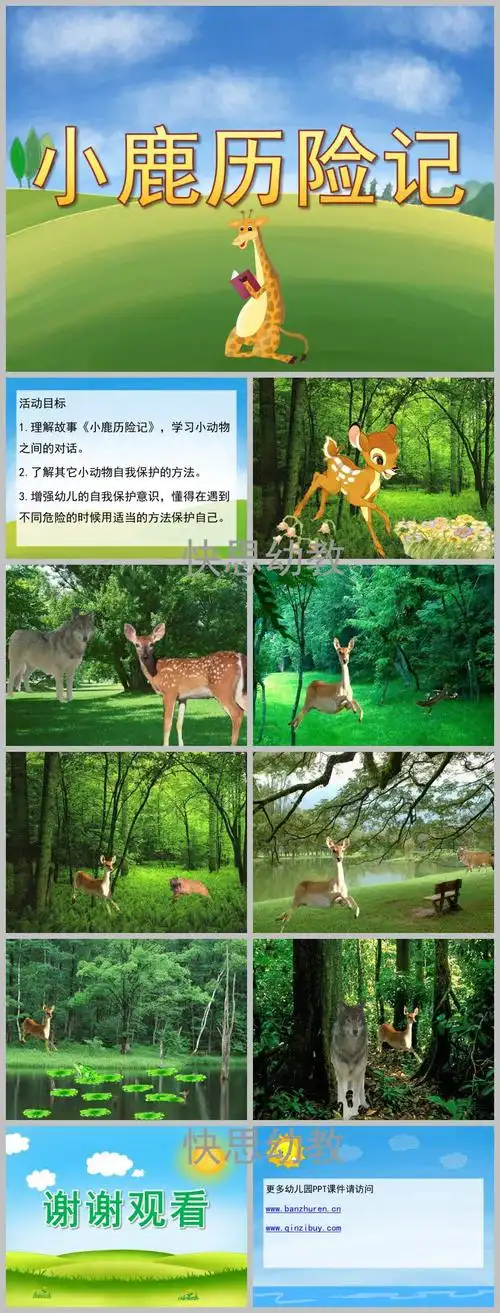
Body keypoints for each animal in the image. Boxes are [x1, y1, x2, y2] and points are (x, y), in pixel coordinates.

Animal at [293, 423, 399, 558]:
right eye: (379, 459)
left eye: (397, 452)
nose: (395, 469)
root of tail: (333, 456)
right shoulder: (353, 497)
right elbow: (374, 506)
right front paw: (388, 528)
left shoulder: (366, 500)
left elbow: (368, 520)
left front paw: (381, 550)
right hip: (334, 484)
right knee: (317, 476)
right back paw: (297, 513)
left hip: (332, 481)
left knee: (321, 480)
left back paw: (317, 516)